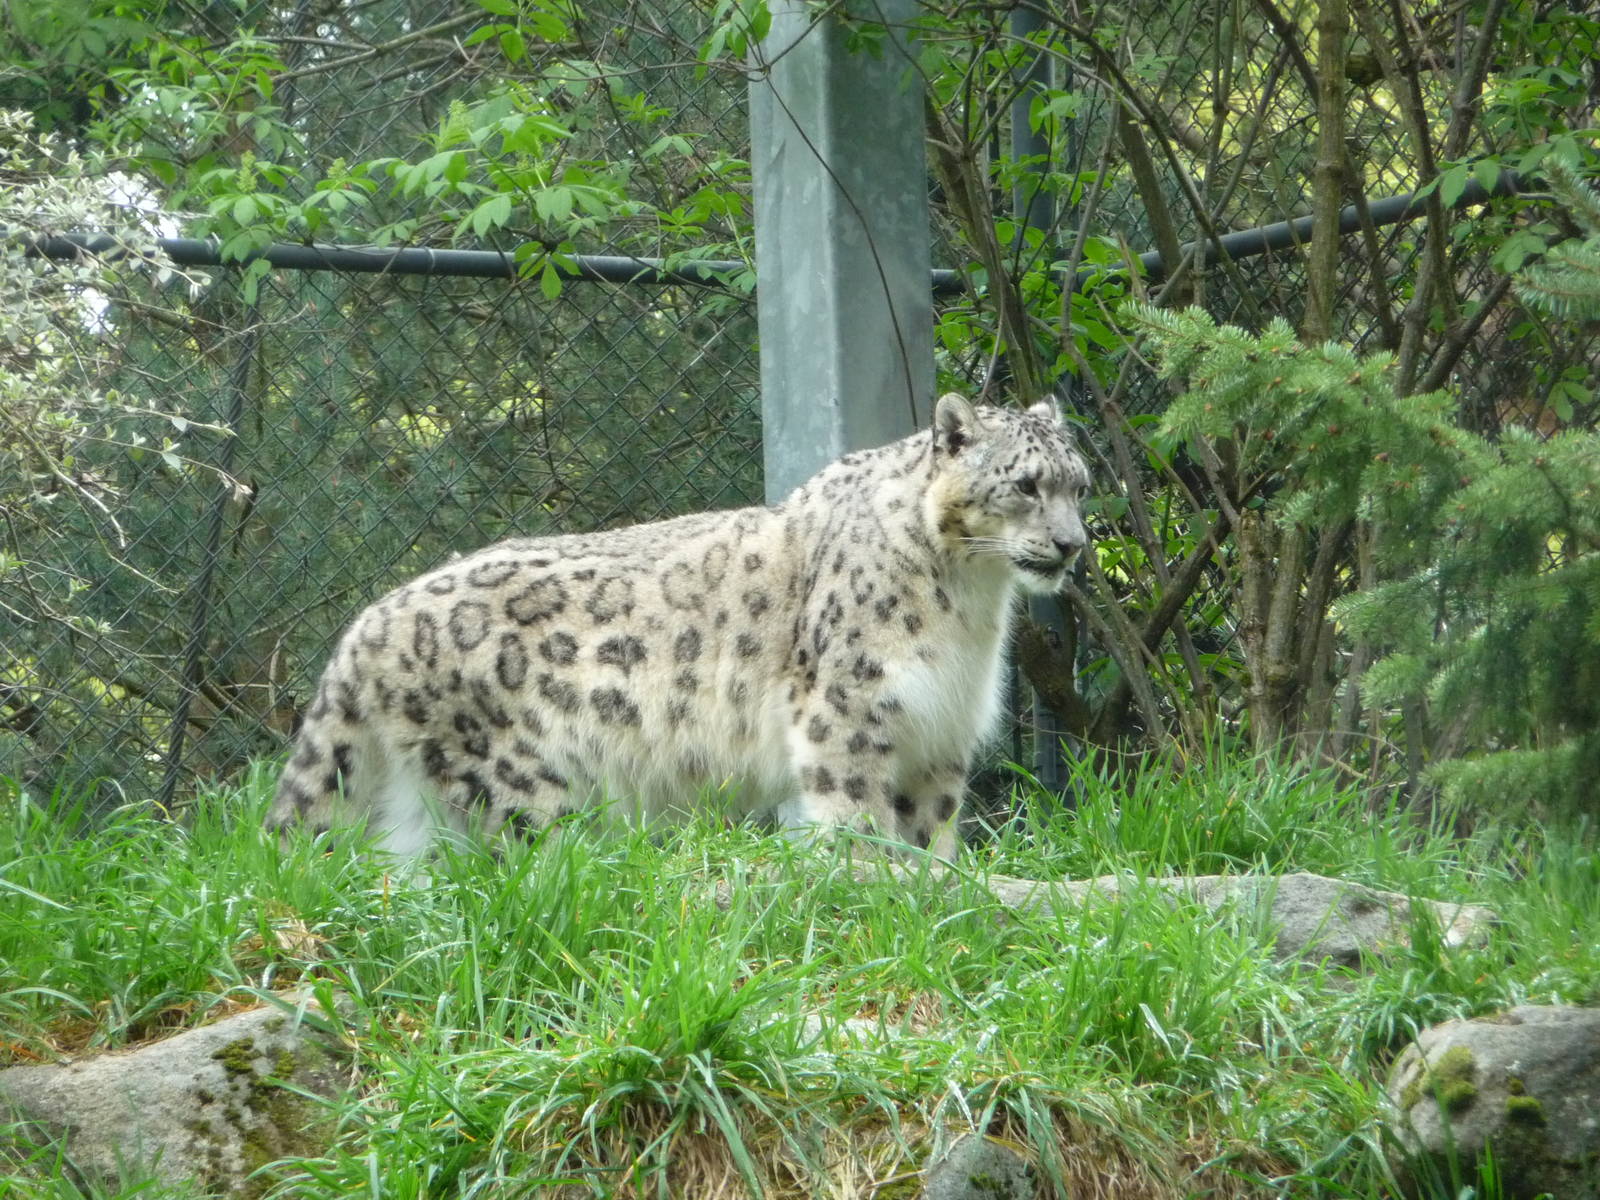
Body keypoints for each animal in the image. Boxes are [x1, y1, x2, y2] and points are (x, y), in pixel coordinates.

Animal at [267, 392, 1090, 859]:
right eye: (1025, 485)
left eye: (1080, 485)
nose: (1073, 544)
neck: (970, 605)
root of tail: (366, 624)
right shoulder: (849, 715)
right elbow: (853, 813)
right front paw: (874, 879)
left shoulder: (938, 733)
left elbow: (934, 830)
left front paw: (936, 884)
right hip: (524, 787)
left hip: (423, 805)